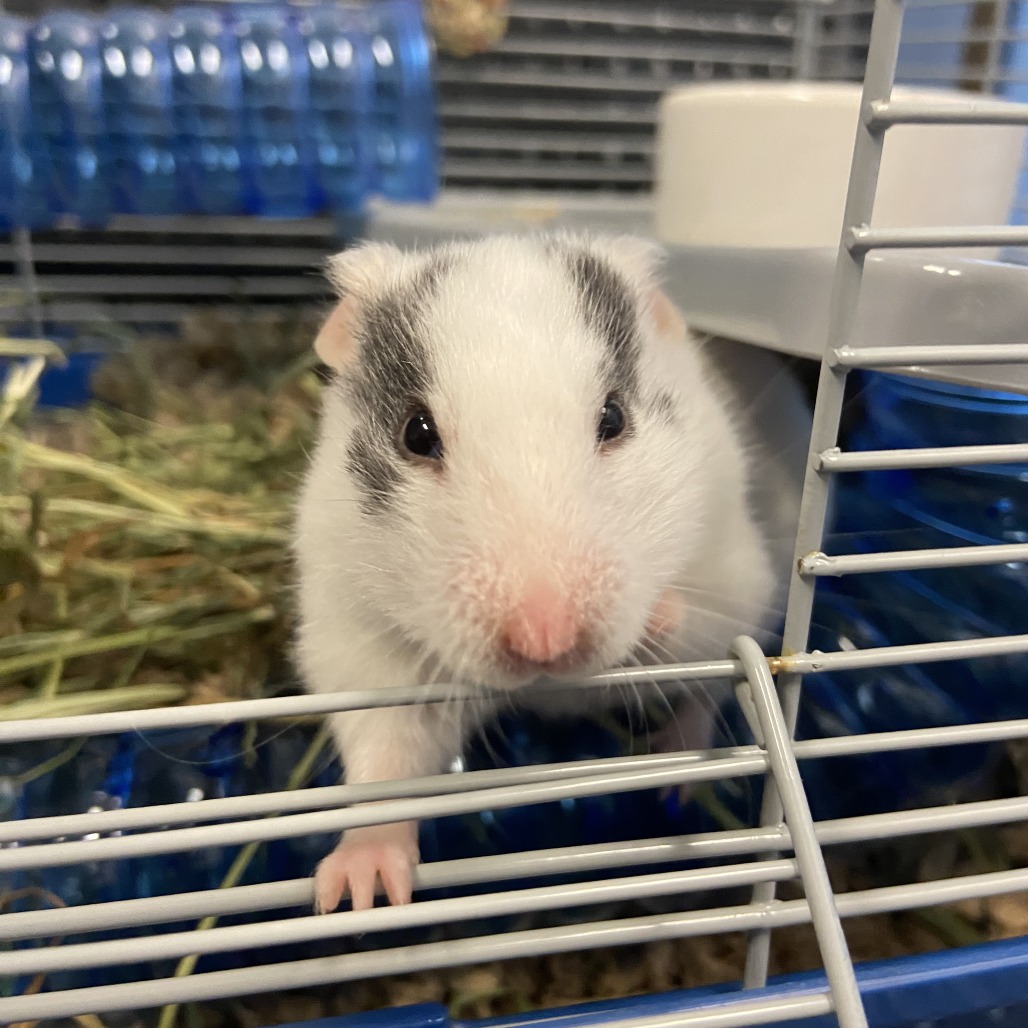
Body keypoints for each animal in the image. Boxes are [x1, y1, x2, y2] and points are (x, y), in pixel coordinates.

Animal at [293, 233, 812, 914]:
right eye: (416, 433)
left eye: (614, 418)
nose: (546, 641)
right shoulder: (363, 646)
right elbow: (386, 764)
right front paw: (357, 896)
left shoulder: (732, 571)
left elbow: (687, 626)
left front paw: (657, 618)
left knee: (705, 691)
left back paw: (675, 782)